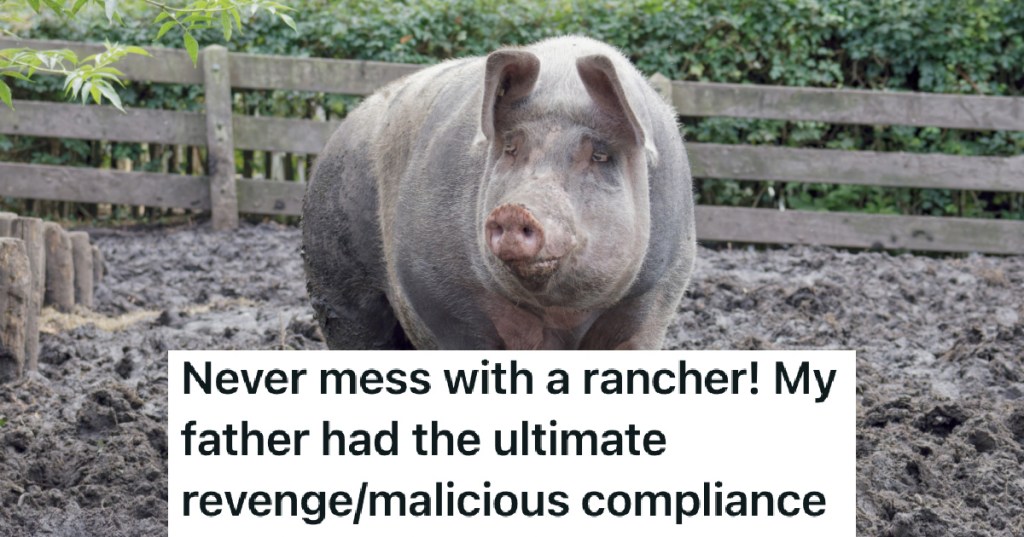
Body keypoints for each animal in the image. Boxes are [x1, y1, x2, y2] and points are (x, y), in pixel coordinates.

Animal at [302, 36, 695, 350]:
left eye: (600, 156)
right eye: (510, 148)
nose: (515, 209)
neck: (561, 315)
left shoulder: (659, 291)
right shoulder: (447, 299)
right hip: (333, 274)